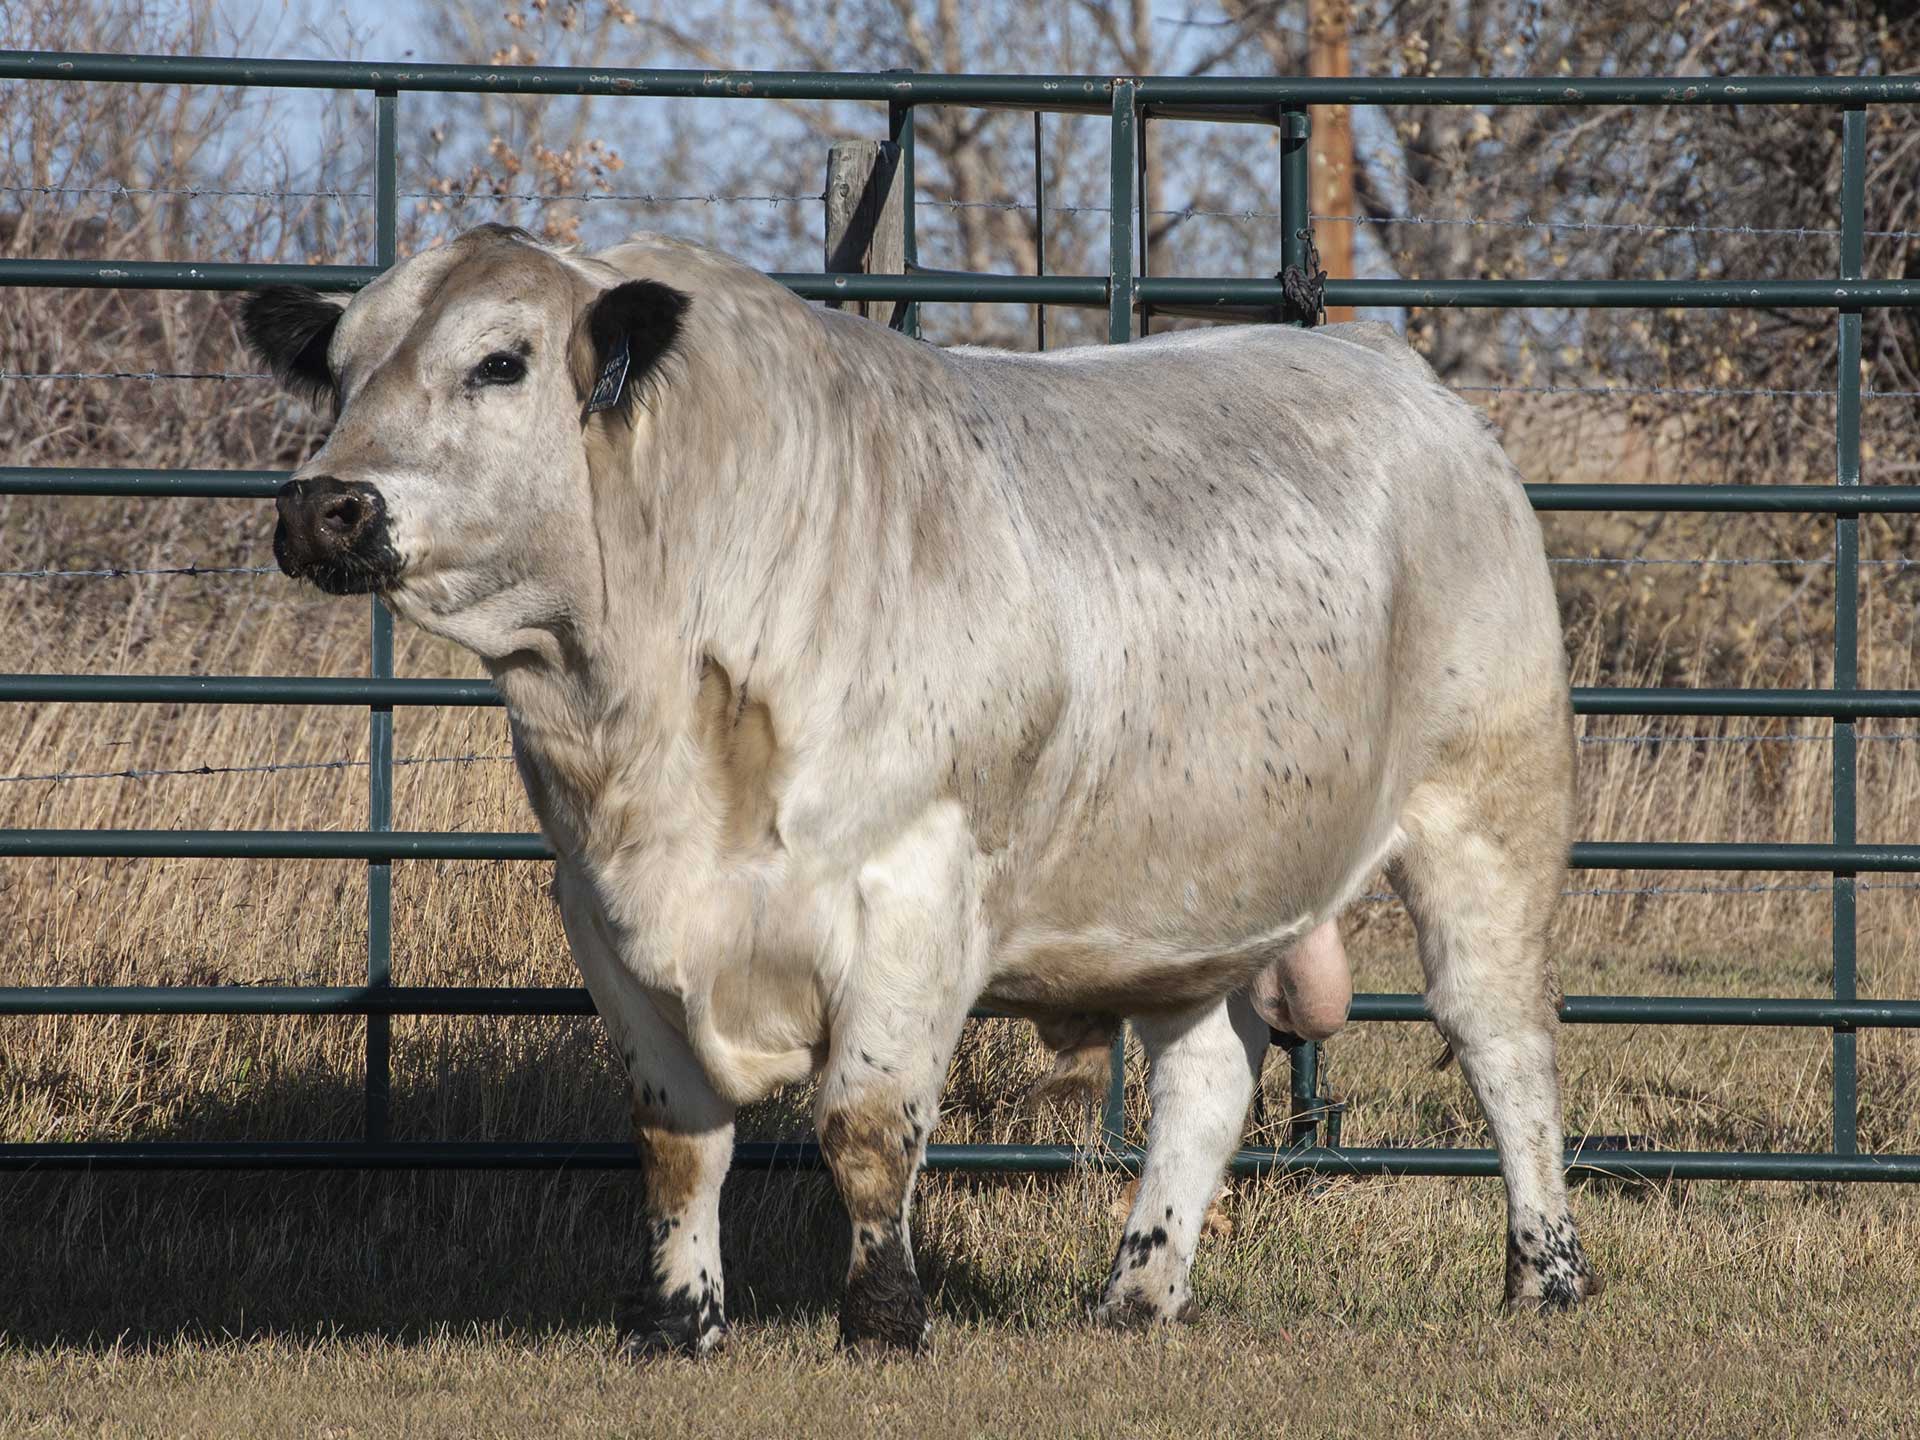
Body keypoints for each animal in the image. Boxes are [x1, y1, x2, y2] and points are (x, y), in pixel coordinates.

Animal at [240, 222, 1599, 1356]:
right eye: (340, 374)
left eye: (502, 362)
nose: (324, 502)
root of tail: (1384, 362)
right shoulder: (603, 914)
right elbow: (676, 1141)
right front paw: (678, 1325)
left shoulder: (910, 891)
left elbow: (864, 1125)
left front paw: (885, 1323)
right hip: (1192, 893)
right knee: (1206, 1079)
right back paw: (1137, 1294)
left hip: (1489, 812)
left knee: (1505, 1040)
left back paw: (1546, 1280)